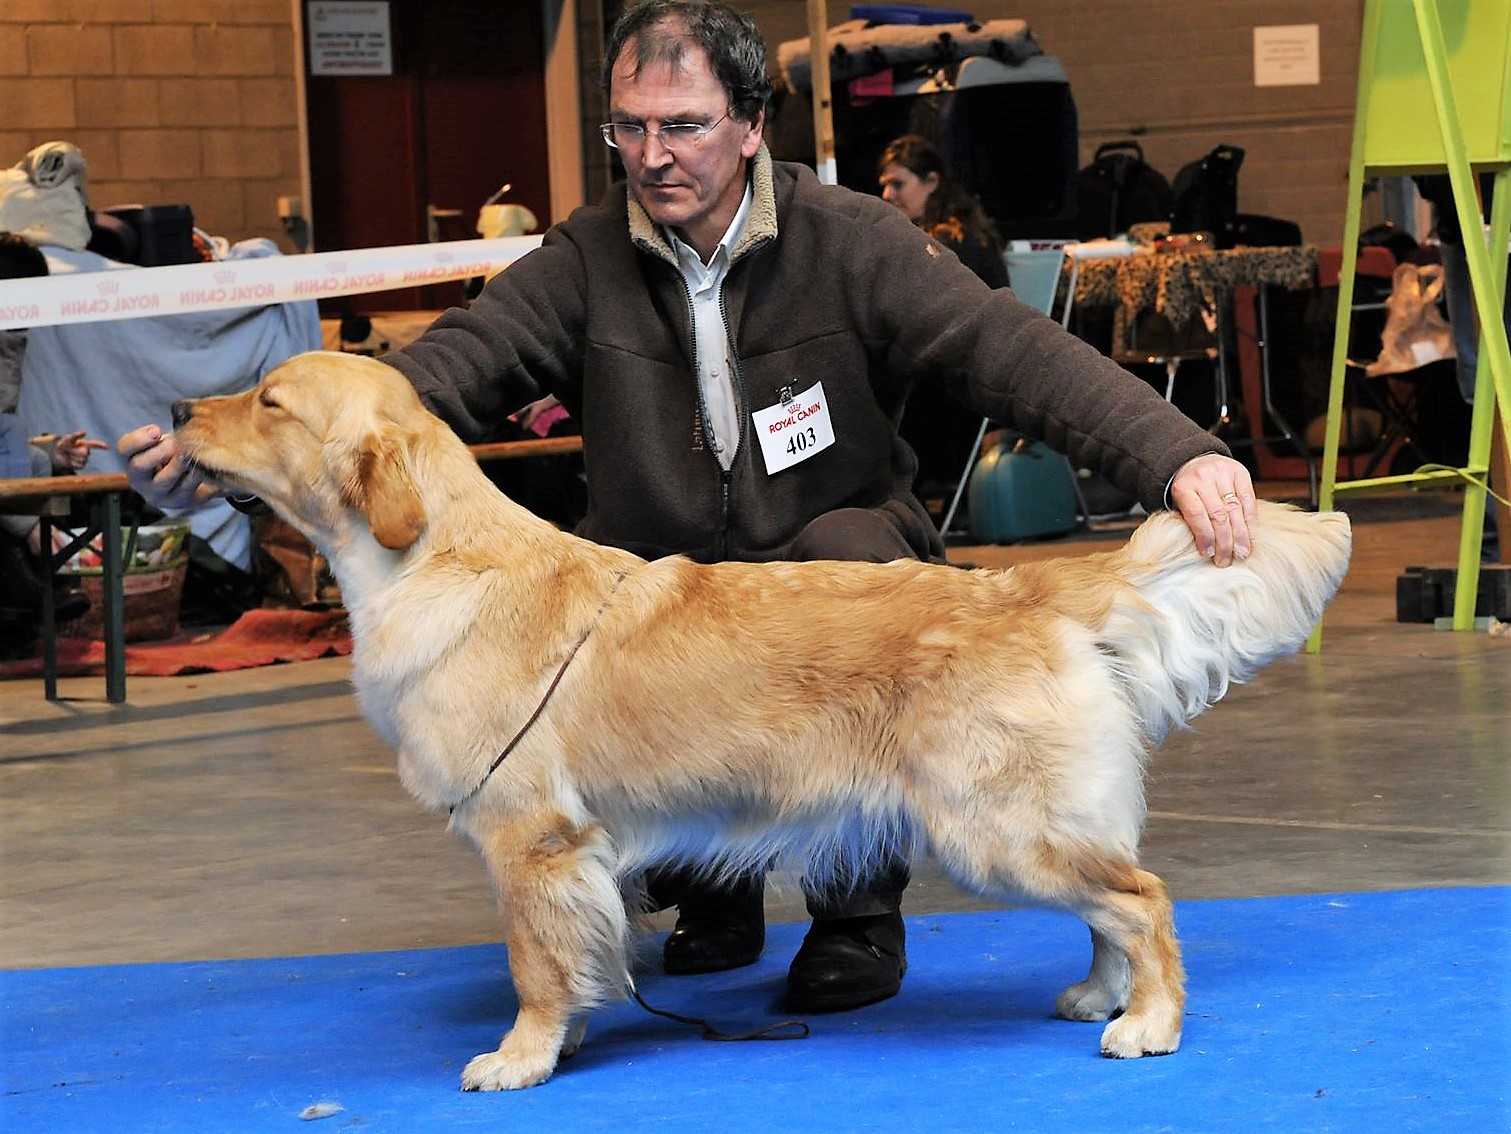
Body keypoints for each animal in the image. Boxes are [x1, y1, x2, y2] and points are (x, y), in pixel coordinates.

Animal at [171, 353, 1353, 1094]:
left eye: (270, 401)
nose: (178, 416)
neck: (431, 557)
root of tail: (1023, 587)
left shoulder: (530, 841)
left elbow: (534, 966)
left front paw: (522, 1057)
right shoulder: (570, 856)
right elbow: (578, 952)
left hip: (995, 827)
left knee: (1142, 899)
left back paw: (1146, 1023)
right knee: (1111, 903)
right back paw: (1098, 998)